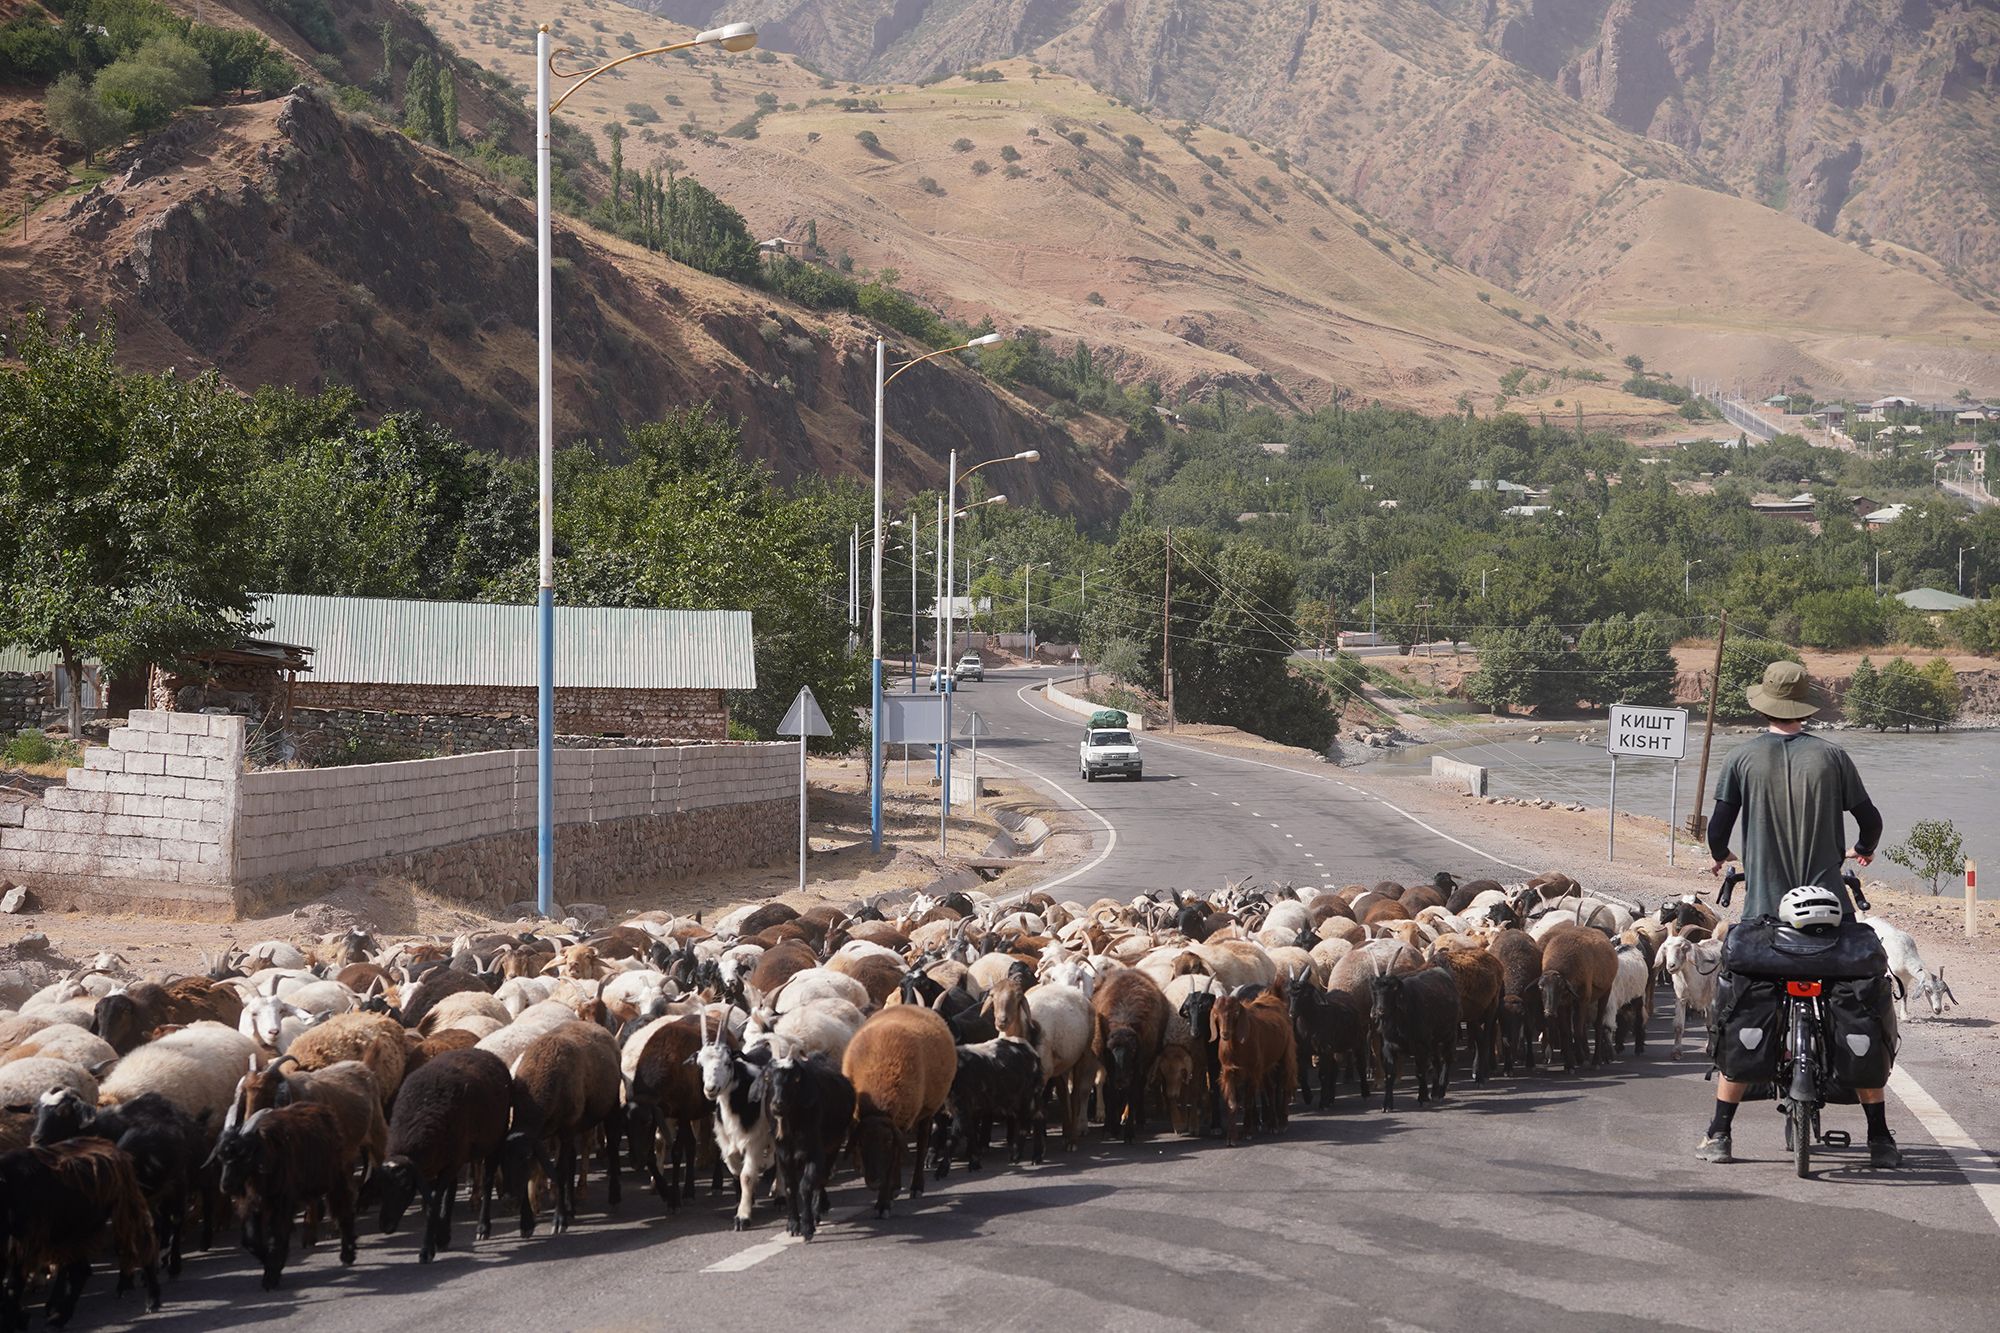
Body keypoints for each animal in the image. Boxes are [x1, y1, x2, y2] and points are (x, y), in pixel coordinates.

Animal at [840, 1008, 956, 1216]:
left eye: (886, 1141)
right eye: (860, 1142)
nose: (874, 1182)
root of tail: (919, 1008)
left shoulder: (900, 1124)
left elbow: (893, 1158)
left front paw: (883, 1203)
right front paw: (887, 1193)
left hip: (926, 1109)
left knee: (921, 1145)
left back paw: (916, 1186)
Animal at [1096, 964, 1168, 1144]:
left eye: (1133, 1050)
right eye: (1109, 1049)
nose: (1121, 1079)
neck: (1123, 1021)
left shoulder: (1138, 1064)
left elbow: (1132, 1092)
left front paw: (1128, 1132)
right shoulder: (1109, 1065)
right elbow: (1112, 1093)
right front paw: (1111, 1128)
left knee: (1138, 1088)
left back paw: (1140, 1119)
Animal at [1536, 924, 1616, 1072]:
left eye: (1561, 987)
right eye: (1540, 987)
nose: (1549, 1013)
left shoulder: (1582, 1000)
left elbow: (1577, 1031)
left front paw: (1580, 1058)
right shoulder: (1562, 1004)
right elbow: (1566, 1032)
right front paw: (1569, 1064)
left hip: (1605, 992)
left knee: (1598, 1025)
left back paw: (1596, 1060)